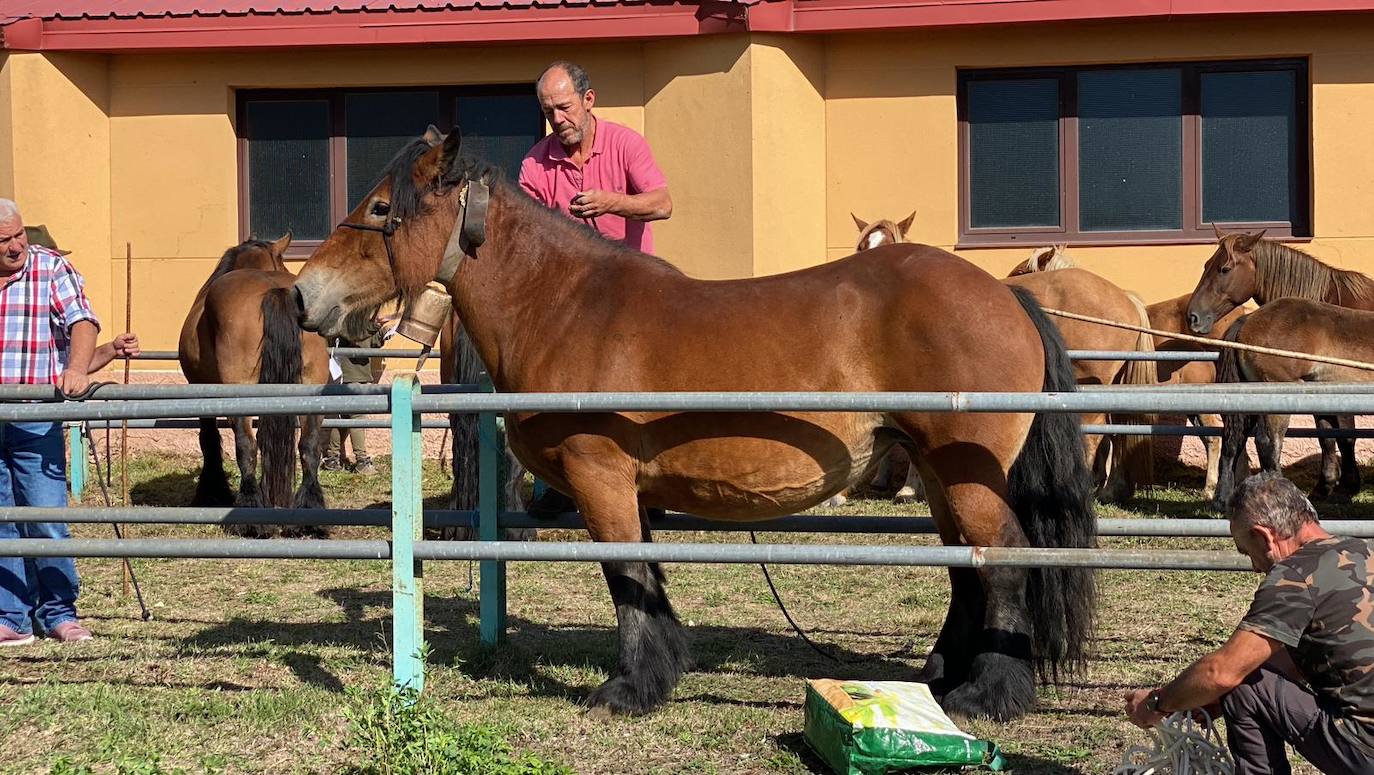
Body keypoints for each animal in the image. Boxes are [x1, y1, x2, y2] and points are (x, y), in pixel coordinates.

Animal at [179, 233, 329, 535]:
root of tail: (275, 291)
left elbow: (209, 439)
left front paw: (212, 492)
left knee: (245, 445)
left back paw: (250, 514)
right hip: (312, 387)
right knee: (309, 445)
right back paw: (309, 514)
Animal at [295, 128, 1099, 720]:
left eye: (379, 208)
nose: (306, 295)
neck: (565, 305)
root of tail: (1005, 294)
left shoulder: (599, 477)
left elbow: (624, 577)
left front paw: (630, 688)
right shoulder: (628, 488)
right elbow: (646, 577)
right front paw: (662, 671)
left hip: (962, 471)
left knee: (1005, 559)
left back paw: (986, 693)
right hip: (935, 471)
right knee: (969, 565)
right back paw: (938, 676)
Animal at [1187, 229, 1368, 505]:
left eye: (1224, 269)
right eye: (1207, 265)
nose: (1193, 317)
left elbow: (1339, 436)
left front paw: (1337, 486)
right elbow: (1333, 437)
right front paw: (1334, 486)